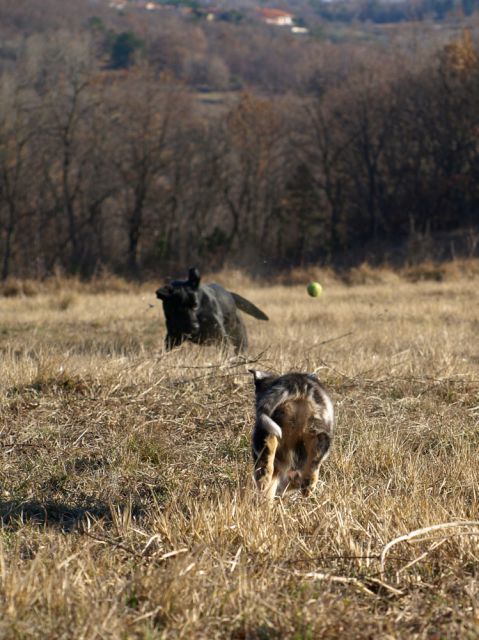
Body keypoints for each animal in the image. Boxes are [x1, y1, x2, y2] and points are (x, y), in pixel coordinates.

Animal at [249, 370, 336, 500]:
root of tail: (298, 382)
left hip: (266, 428)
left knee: (269, 445)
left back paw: (263, 478)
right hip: (318, 431)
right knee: (315, 459)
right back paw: (307, 485)